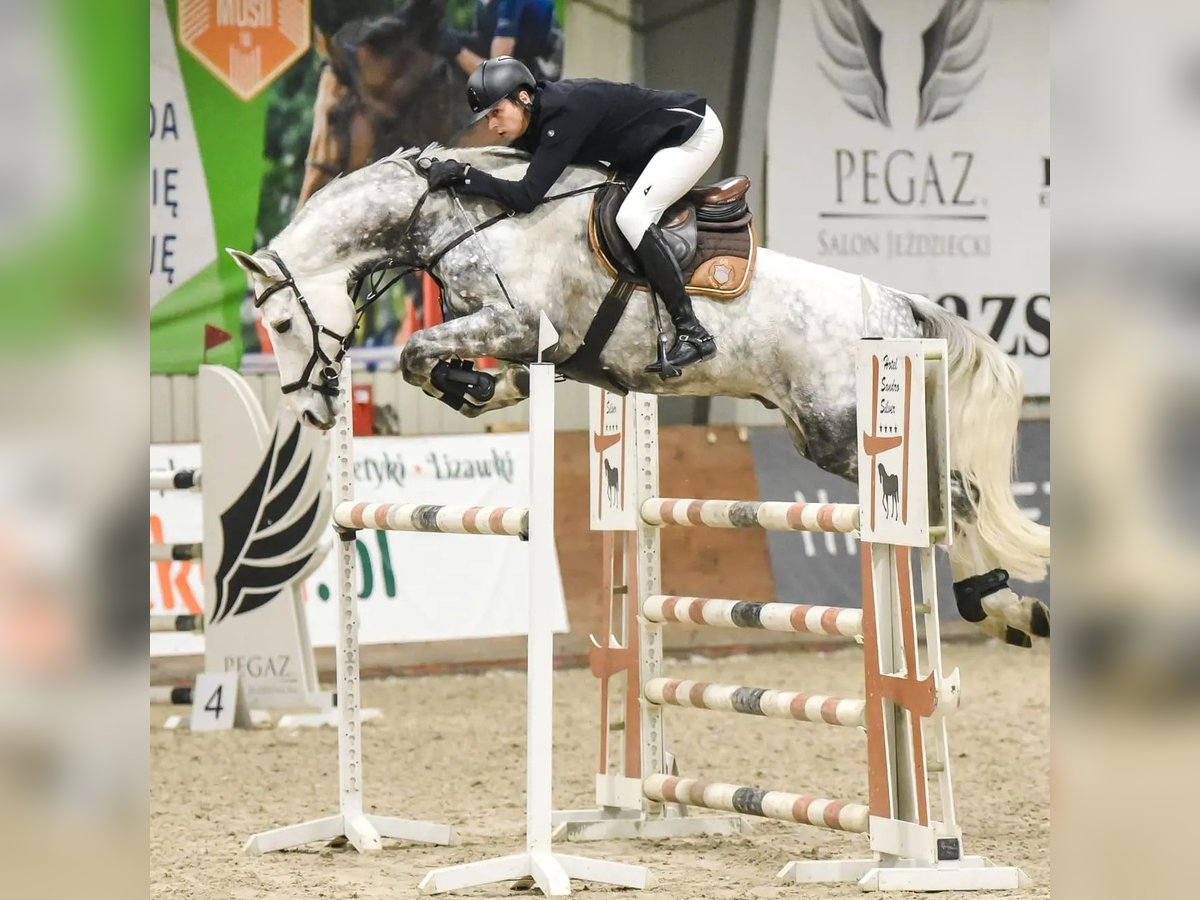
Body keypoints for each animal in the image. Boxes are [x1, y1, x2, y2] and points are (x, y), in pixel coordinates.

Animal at [226, 144, 1051, 648]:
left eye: (277, 322)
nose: (311, 410)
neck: (457, 216)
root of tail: (897, 301)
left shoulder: (518, 322)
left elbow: (413, 353)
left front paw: (465, 382)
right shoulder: (523, 339)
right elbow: (463, 367)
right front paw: (481, 387)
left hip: (842, 429)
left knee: (956, 495)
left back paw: (1004, 607)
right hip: (830, 431)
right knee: (951, 497)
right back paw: (997, 605)